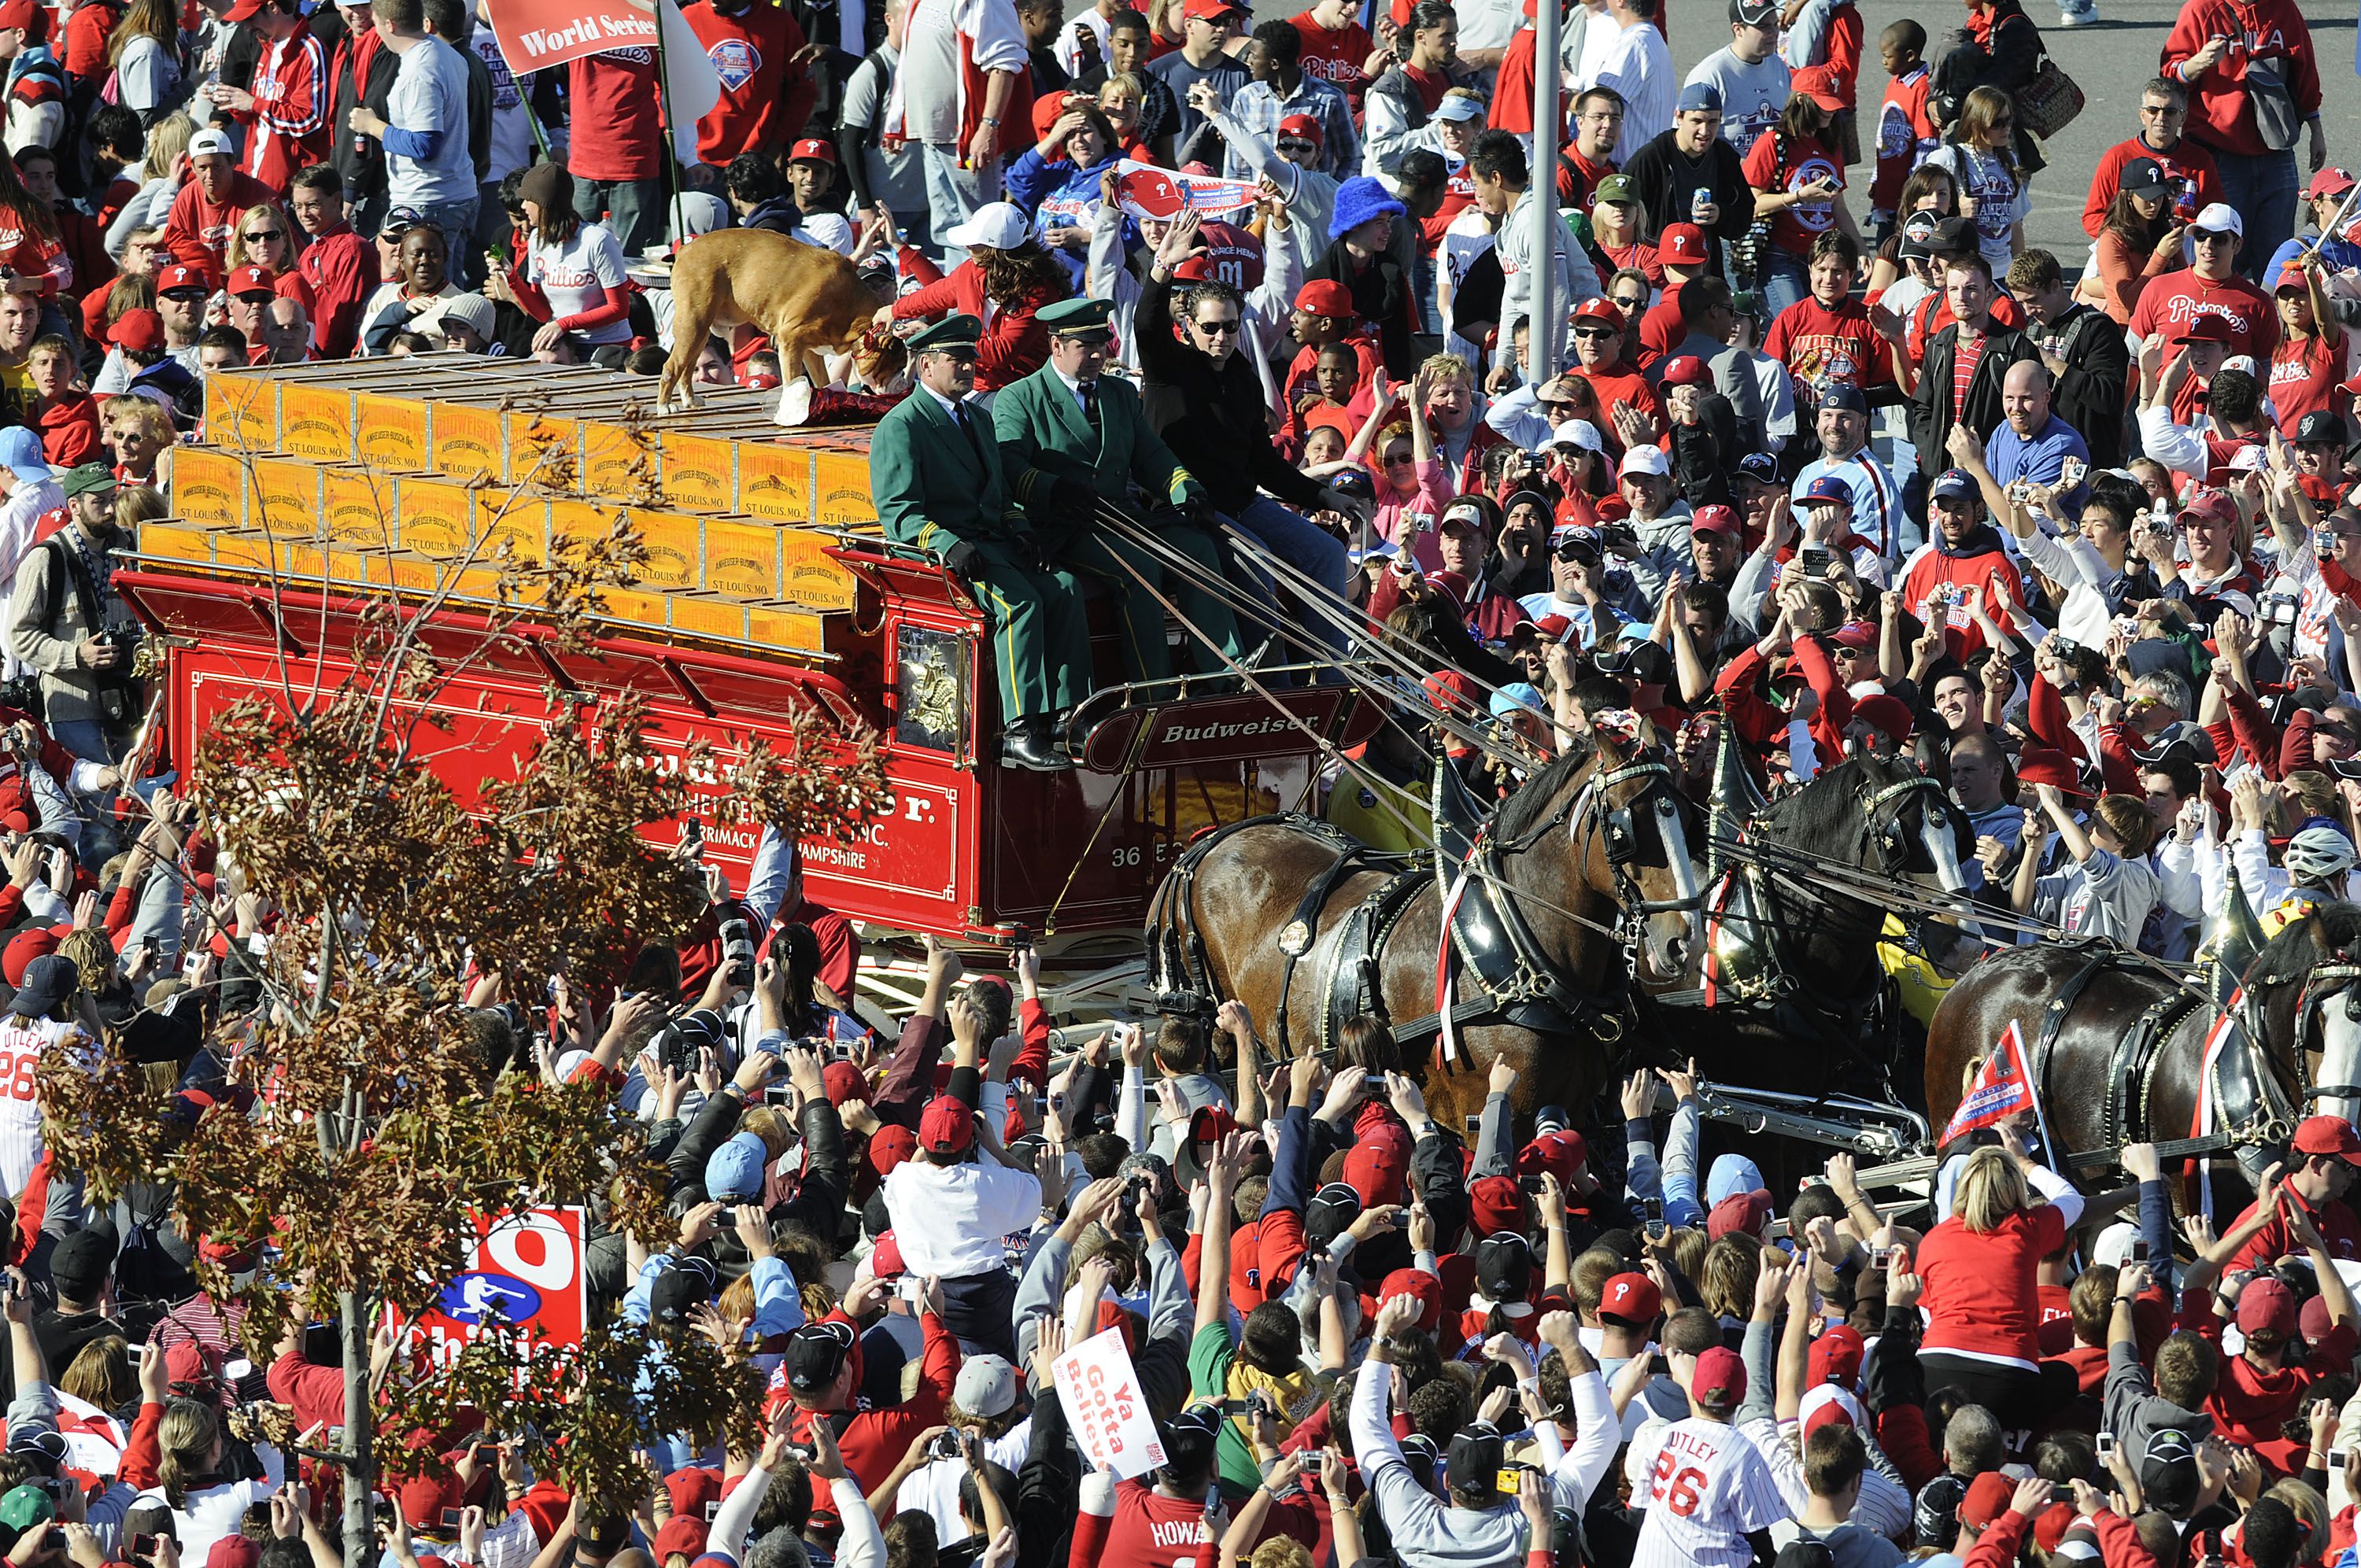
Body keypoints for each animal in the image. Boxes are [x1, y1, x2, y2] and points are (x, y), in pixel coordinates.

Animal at [661, 230, 907, 415]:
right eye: (897, 367)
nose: (904, 381)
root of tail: (685, 250)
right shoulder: (791, 340)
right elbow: (792, 379)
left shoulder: (811, 351)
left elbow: (822, 379)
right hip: (693, 323)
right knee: (672, 367)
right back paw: (665, 406)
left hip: (700, 332)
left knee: (687, 367)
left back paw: (690, 400)